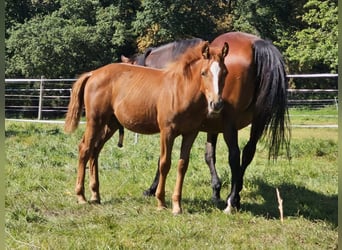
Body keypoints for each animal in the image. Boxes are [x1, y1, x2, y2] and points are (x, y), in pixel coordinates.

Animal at [64, 41, 230, 215]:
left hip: (110, 124)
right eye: (204, 73)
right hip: (95, 121)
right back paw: (81, 196)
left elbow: (182, 165)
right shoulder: (167, 132)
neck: (181, 90)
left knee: (95, 150)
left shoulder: (191, 133)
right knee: (85, 148)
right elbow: (164, 164)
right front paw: (161, 202)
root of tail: (93, 74)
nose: (216, 104)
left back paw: (95, 195)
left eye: (225, 72)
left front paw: (177, 205)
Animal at [124, 31, 290, 214]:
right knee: (248, 153)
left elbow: (163, 159)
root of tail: (256, 45)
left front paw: (153, 189)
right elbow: (209, 155)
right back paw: (236, 196)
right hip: (258, 121)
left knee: (234, 155)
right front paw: (216, 190)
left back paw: (231, 201)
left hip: (230, 125)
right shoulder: (212, 127)